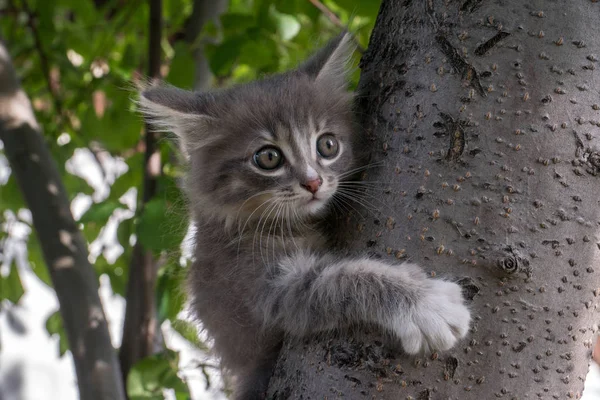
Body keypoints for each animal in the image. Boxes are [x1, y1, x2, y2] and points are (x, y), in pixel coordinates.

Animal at [138, 33, 472, 400]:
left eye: (327, 145)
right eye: (268, 157)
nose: (313, 182)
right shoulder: (261, 286)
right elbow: (341, 280)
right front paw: (426, 304)